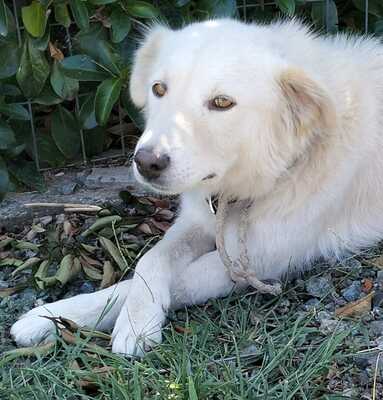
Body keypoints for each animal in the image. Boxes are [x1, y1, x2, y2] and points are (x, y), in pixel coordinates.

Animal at [9, 18, 383, 356]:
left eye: (222, 102)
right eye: (159, 89)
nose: (146, 163)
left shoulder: (264, 258)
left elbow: (179, 281)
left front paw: (130, 323)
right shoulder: (198, 220)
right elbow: (152, 259)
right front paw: (56, 315)